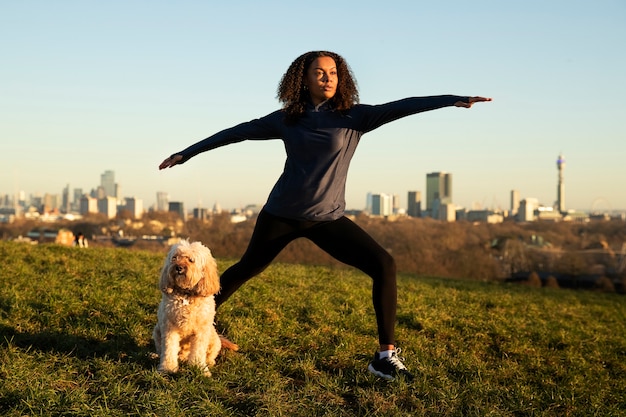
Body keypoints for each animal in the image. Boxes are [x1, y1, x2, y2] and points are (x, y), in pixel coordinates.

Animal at [152, 239, 234, 376]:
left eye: (191, 260)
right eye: (175, 257)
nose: (178, 267)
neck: (186, 295)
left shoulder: (201, 330)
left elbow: (198, 351)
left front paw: (200, 369)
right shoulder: (169, 327)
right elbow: (169, 349)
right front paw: (167, 368)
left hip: (213, 338)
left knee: (210, 355)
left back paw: (208, 363)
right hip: (157, 331)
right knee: (163, 350)